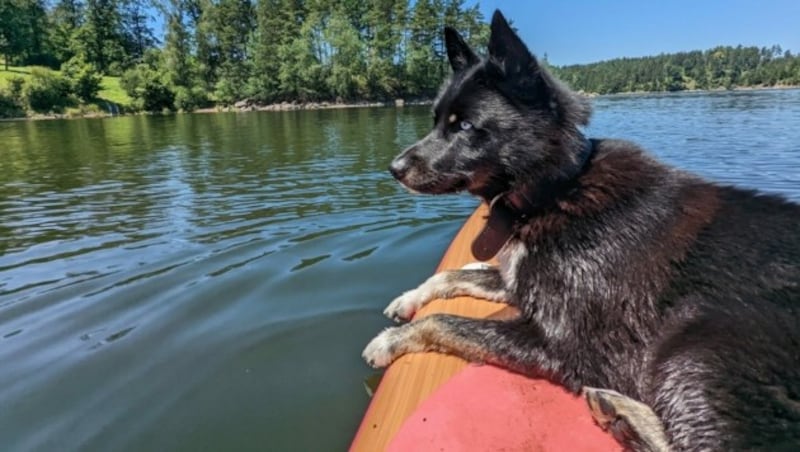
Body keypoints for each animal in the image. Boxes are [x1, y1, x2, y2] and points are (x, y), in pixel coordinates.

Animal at [364, 8, 800, 450]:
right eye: (436, 120)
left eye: (466, 126)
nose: (393, 169)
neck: (555, 190)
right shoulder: (522, 283)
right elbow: (452, 276)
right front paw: (409, 298)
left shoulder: (564, 345)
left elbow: (445, 322)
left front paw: (390, 340)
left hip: (696, 343)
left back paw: (621, 412)